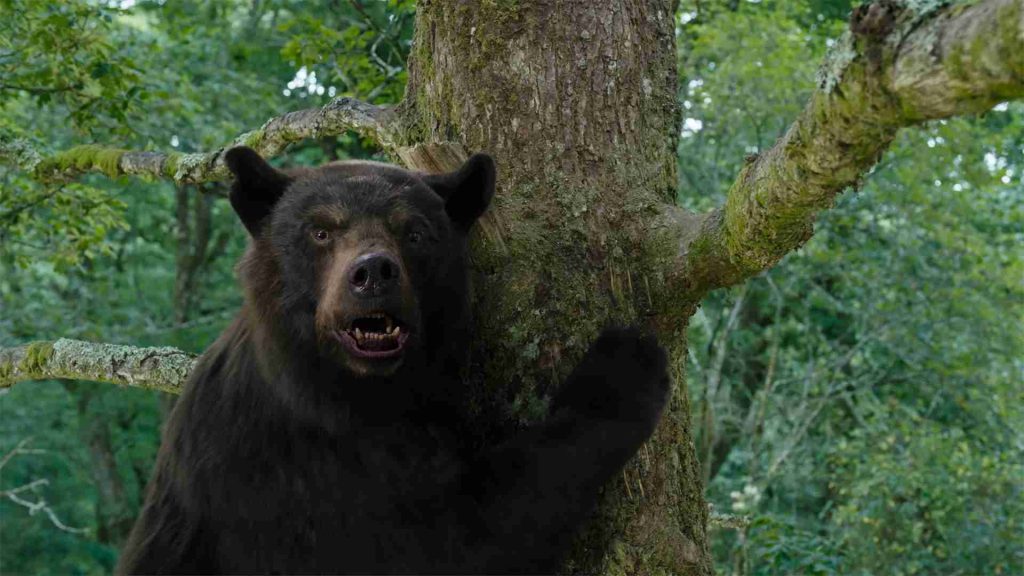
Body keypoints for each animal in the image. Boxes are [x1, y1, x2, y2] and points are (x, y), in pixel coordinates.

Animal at [117, 147, 669, 574]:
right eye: (321, 231)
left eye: (415, 232)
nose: (373, 273)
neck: (355, 393)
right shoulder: (297, 479)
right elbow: (455, 539)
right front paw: (622, 367)